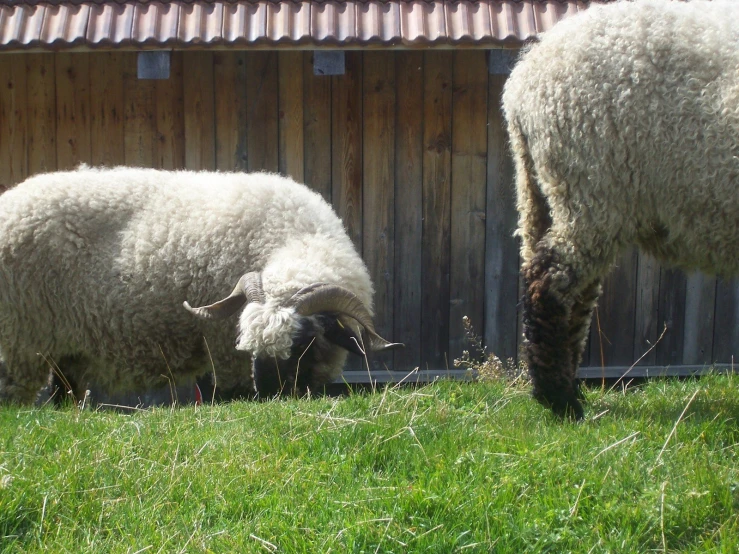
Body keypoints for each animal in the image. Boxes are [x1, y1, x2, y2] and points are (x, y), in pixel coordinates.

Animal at [0, 162, 402, 404]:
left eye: (303, 341)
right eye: (247, 346)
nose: (271, 397)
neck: (296, 235)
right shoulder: (222, 349)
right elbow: (227, 394)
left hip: (64, 347)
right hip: (23, 337)